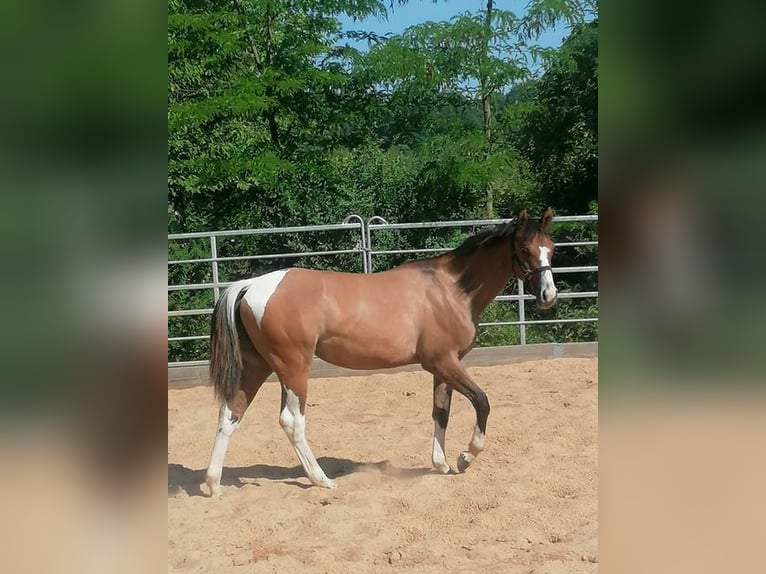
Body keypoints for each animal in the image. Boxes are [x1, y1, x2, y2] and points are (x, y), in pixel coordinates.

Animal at [204, 208, 558, 494]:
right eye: (524, 249)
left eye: (551, 249)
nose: (548, 295)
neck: (451, 290)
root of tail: (251, 285)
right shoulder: (443, 362)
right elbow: (482, 402)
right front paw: (465, 457)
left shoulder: (444, 366)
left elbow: (440, 412)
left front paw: (441, 464)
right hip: (294, 367)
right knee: (291, 421)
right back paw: (322, 480)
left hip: (258, 366)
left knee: (230, 413)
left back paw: (213, 484)